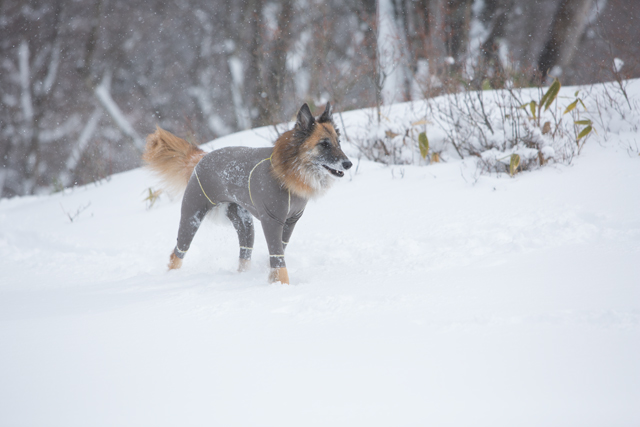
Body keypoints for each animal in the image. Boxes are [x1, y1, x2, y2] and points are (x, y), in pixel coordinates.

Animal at [143, 102, 352, 286]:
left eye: (338, 142)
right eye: (324, 144)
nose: (348, 164)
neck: (290, 171)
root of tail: (201, 156)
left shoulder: (290, 222)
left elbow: (279, 252)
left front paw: (272, 278)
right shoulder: (272, 221)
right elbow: (278, 257)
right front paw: (283, 285)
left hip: (245, 224)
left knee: (244, 254)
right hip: (192, 215)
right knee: (177, 253)